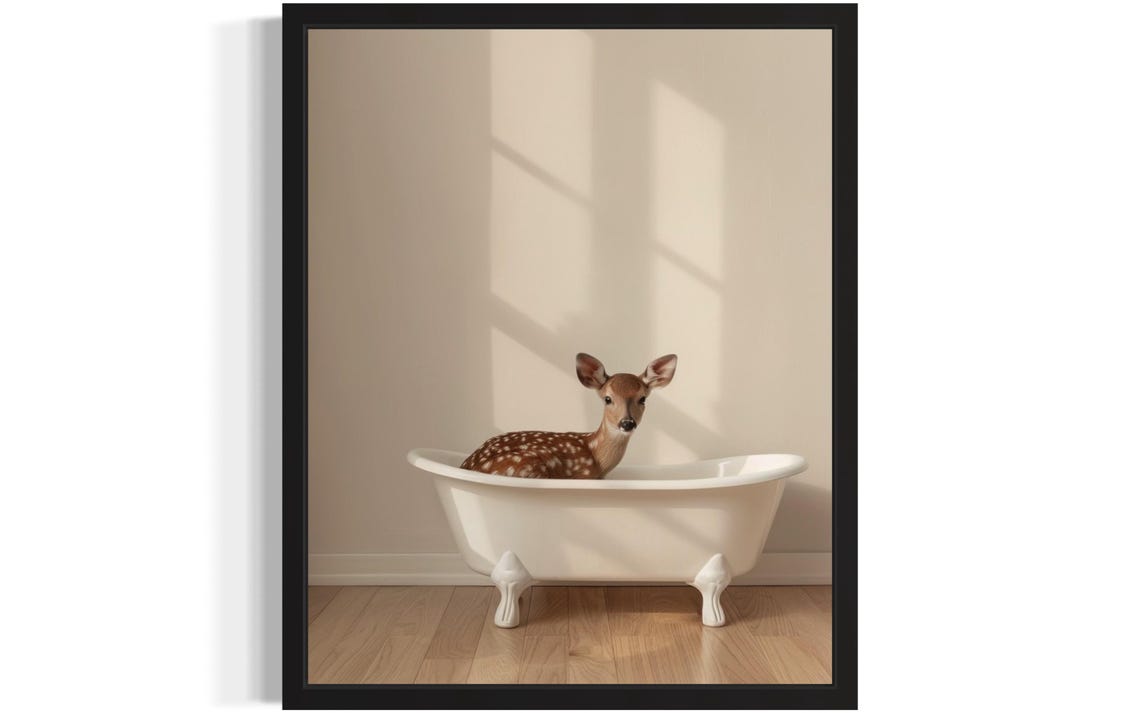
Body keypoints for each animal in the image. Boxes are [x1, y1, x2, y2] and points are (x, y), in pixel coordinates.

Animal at [460, 353, 677, 479]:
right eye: (607, 399)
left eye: (642, 399)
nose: (627, 423)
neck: (597, 459)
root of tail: (466, 465)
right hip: (526, 466)